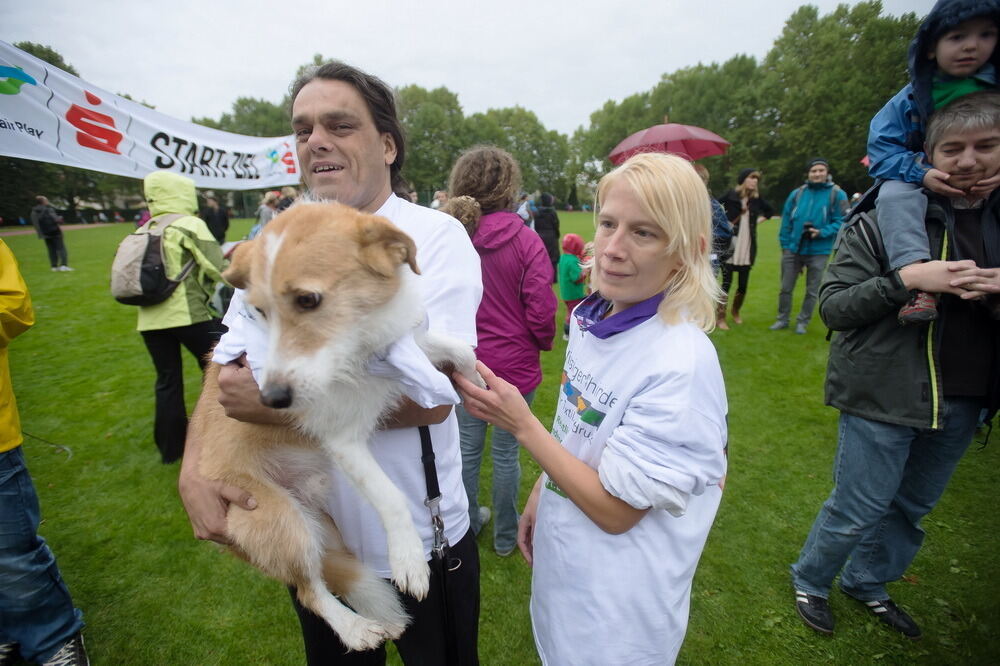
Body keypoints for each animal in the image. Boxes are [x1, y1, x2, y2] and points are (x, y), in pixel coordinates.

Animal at [190, 201, 484, 648]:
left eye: (308, 299)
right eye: (257, 311)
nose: (271, 399)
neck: (360, 350)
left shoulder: (406, 344)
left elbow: (459, 351)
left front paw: (482, 384)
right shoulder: (343, 438)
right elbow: (390, 496)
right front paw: (408, 560)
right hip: (284, 521)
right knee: (310, 591)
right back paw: (357, 628)